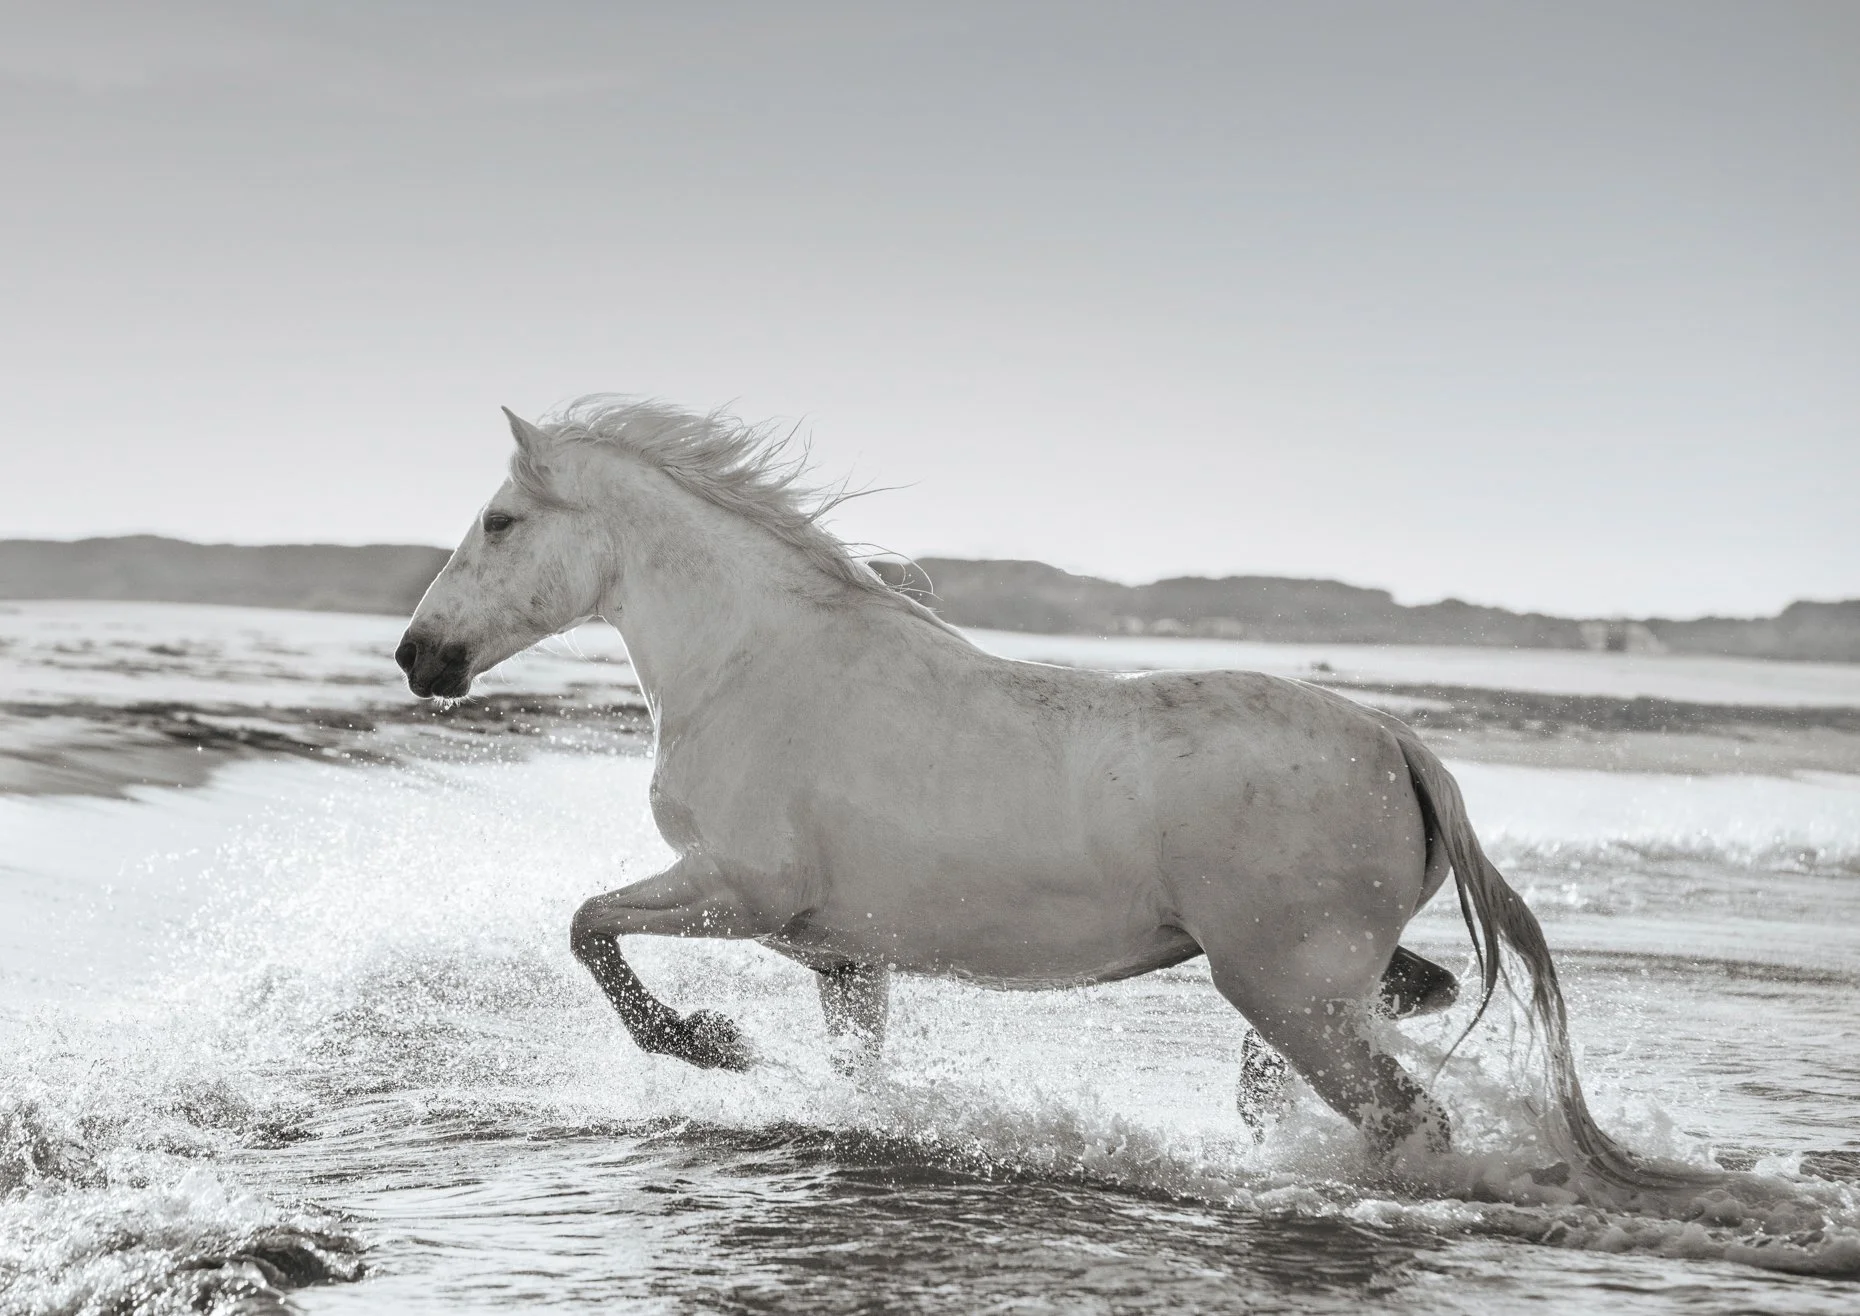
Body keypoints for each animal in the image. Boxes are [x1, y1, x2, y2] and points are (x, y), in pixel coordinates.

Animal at [396, 396, 1704, 1189]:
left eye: (500, 521)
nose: (420, 658)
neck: (752, 660)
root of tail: (1395, 737)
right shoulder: (838, 946)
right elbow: (854, 1064)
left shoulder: (743, 889)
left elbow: (586, 923)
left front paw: (708, 1041)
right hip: (1312, 975)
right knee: (1407, 1004)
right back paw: (1267, 1118)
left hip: (1284, 980)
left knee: (1404, 1114)